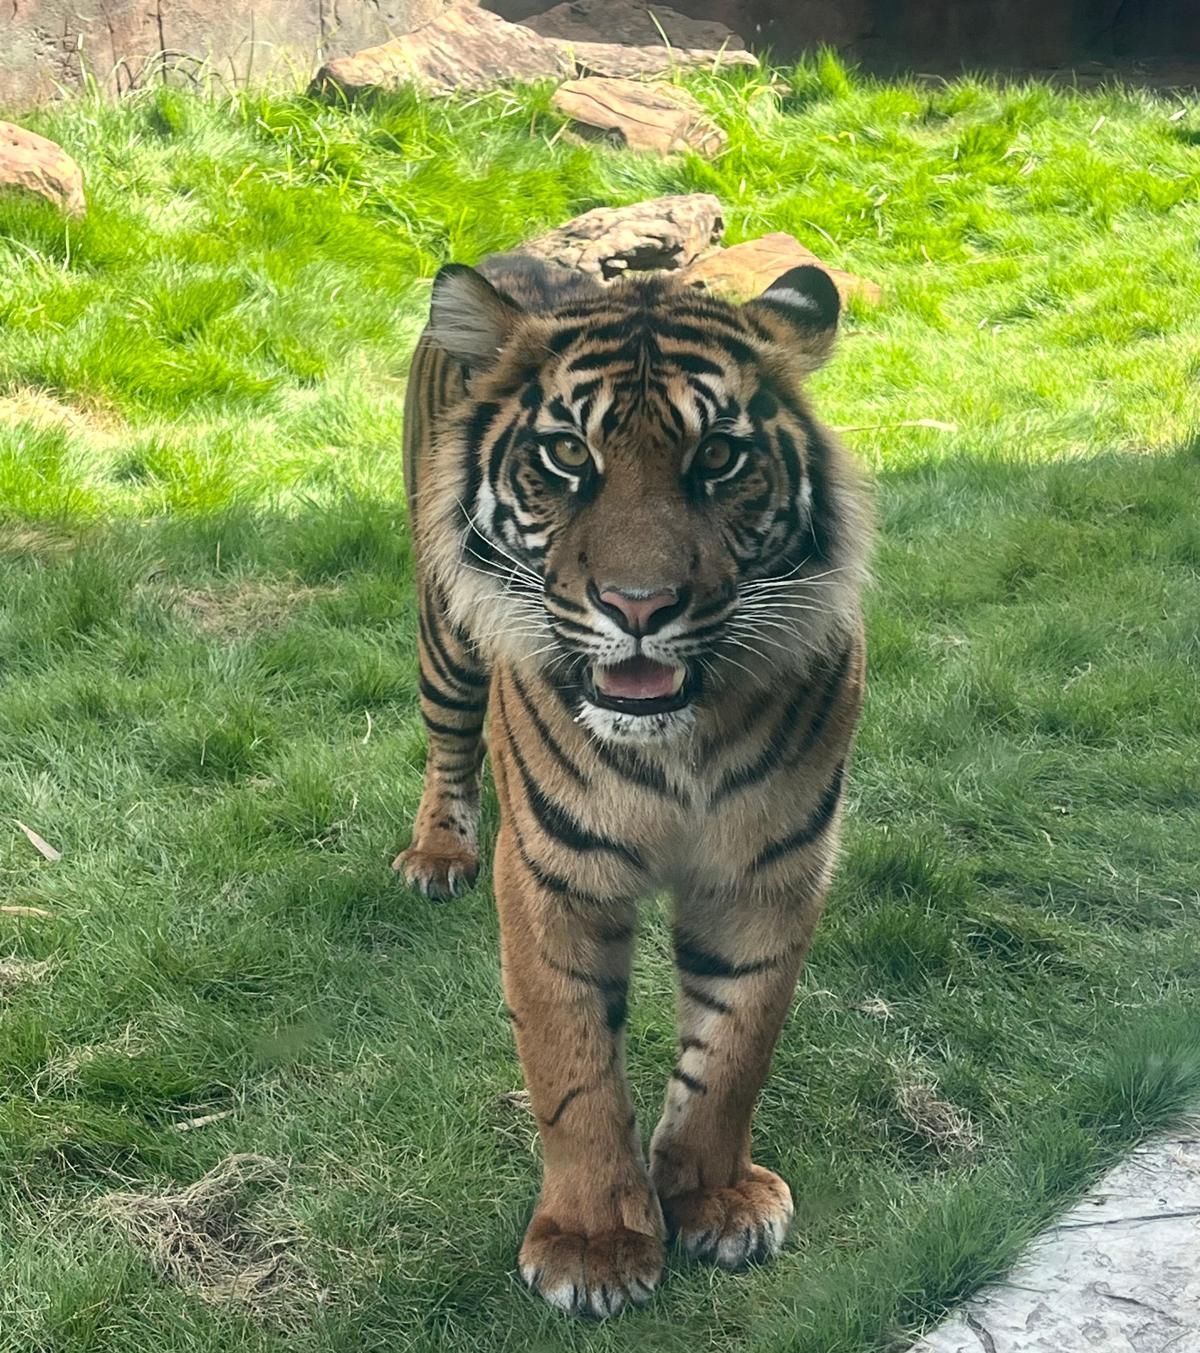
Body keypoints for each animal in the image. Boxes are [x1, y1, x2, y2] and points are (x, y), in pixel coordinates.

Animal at [394, 250, 871, 1318]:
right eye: (569, 455)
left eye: (720, 458)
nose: (640, 607)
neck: (675, 750)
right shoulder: (552, 876)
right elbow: (572, 1067)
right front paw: (591, 1243)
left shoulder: (768, 868)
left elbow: (735, 1047)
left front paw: (717, 1198)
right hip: (444, 628)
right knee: (447, 743)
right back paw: (436, 853)